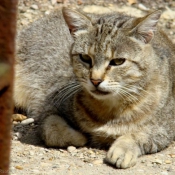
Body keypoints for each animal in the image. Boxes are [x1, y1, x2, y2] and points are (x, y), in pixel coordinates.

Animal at [14, 6, 175, 168]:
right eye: (85, 58)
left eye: (118, 61)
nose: (95, 80)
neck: (110, 109)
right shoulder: (50, 106)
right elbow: (50, 129)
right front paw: (77, 136)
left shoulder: (164, 130)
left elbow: (139, 135)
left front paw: (123, 149)